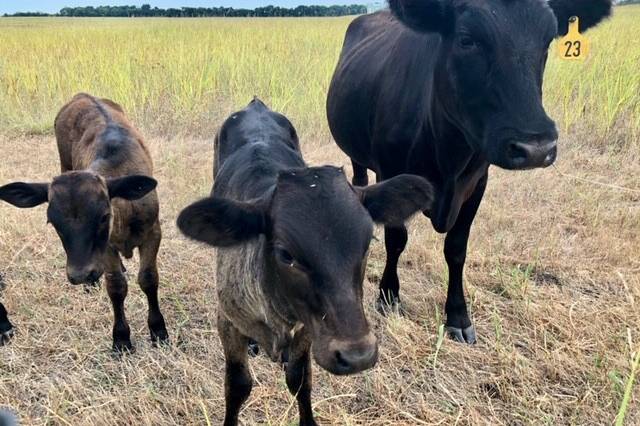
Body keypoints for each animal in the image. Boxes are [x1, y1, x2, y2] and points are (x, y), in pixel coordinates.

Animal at [0, 95, 168, 352]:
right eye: (52, 221)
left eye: (104, 216)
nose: (80, 275)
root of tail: (81, 96)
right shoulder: (107, 247)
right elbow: (116, 286)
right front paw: (121, 338)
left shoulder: (153, 232)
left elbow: (148, 279)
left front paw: (158, 330)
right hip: (64, 160)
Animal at [178, 98, 432, 424]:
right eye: (286, 254)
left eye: (367, 244)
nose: (358, 356)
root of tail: (255, 104)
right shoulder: (227, 321)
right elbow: (237, 386)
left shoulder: (309, 330)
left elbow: (300, 380)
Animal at [328, 0, 612, 342]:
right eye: (467, 39)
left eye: (547, 41)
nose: (536, 147)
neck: (447, 153)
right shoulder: (390, 172)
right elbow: (396, 239)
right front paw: (389, 295)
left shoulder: (477, 183)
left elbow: (456, 249)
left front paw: (458, 315)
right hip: (355, 153)